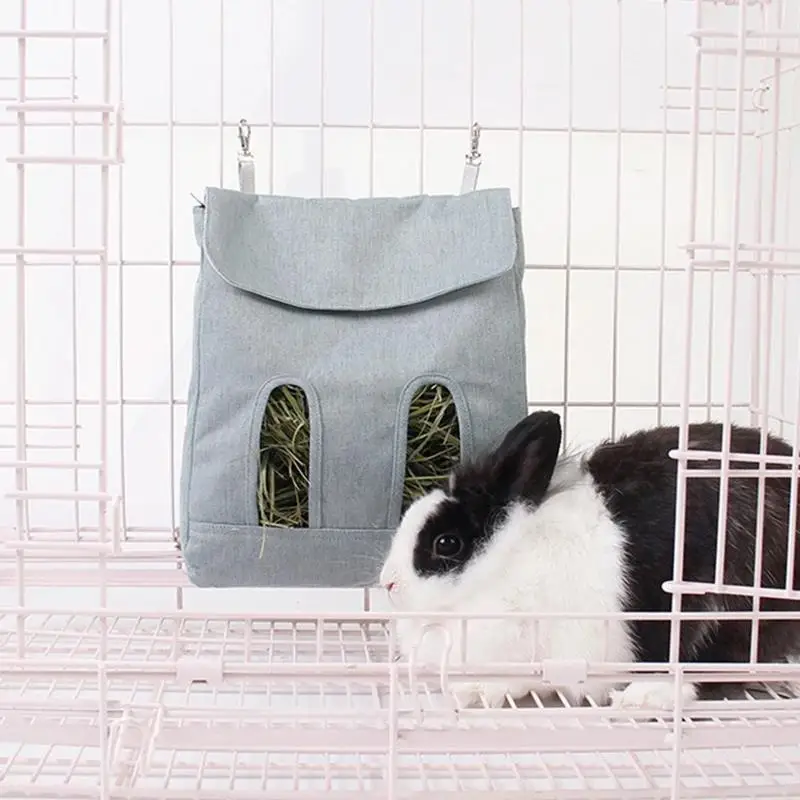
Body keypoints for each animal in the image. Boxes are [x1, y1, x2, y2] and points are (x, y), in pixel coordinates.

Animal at [379, 410, 800, 711]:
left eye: (446, 543)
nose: (388, 583)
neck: (503, 566)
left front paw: (475, 691)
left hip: (722, 613)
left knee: (711, 667)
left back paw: (644, 698)